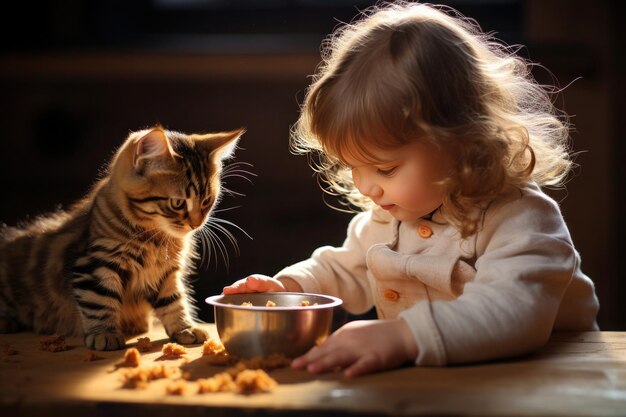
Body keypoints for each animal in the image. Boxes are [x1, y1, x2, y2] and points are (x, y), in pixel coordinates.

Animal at [0, 125, 244, 350]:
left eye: (207, 201)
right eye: (177, 203)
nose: (196, 223)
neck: (156, 239)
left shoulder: (166, 273)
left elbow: (174, 302)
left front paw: (184, 328)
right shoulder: (95, 265)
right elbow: (99, 302)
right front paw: (104, 334)